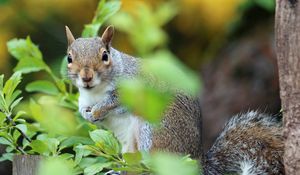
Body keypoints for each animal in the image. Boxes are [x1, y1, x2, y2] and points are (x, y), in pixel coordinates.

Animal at [65, 25, 284, 174]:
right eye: (69, 58)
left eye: (105, 56)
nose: (86, 77)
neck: (95, 92)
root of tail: (196, 163)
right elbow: (84, 108)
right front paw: (86, 114)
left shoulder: (135, 87)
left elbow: (116, 102)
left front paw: (98, 111)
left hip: (154, 131)